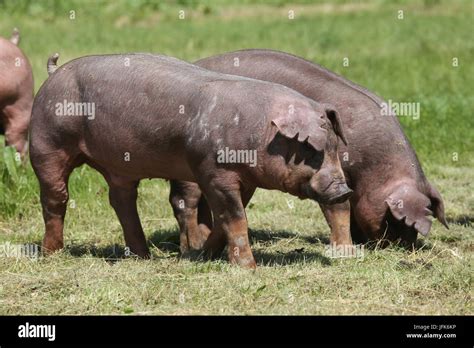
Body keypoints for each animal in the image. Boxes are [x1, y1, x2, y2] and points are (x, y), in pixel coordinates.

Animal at [32, 53, 352, 268]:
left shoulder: (245, 179)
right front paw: (248, 269)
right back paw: (52, 253)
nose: (344, 189)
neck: (258, 132)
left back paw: (143, 257)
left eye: (335, 147)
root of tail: (54, 72)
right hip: (47, 141)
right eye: (311, 151)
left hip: (118, 168)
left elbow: (224, 220)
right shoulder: (214, 170)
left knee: (122, 200)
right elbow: (234, 217)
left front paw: (202, 256)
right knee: (55, 197)